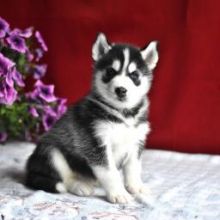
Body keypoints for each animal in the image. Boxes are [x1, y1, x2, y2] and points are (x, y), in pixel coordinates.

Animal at [25, 32, 159, 203]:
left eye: (134, 75)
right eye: (110, 72)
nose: (121, 90)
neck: (123, 114)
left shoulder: (136, 141)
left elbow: (133, 168)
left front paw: (136, 187)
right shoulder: (95, 142)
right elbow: (110, 173)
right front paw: (118, 193)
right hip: (51, 153)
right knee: (64, 179)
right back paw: (80, 185)